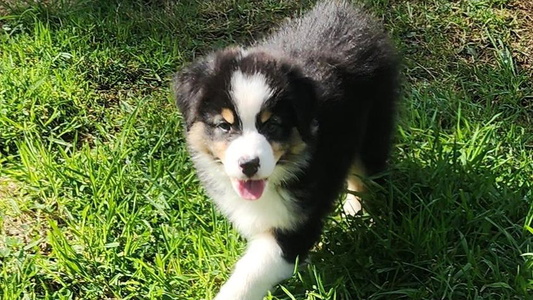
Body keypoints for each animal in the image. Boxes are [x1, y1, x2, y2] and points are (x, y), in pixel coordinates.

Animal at [172, 1, 396, 298]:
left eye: (273, 125)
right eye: (224, 125)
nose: (249, 165)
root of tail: (347, 13)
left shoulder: (296, 226)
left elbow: (251, 274)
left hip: (375, 125)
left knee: (365, 174)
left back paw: (359, 212)